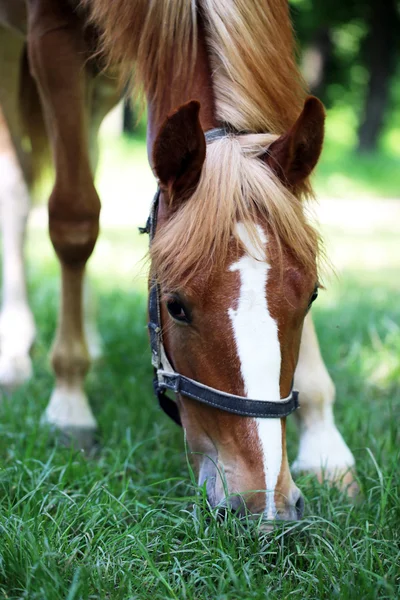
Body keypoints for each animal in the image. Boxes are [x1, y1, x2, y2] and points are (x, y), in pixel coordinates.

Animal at [0, 0, 356, 520]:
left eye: (311, 296)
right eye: (176, 307)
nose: (264, 505)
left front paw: (325, 440)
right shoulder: (50, 30)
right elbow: (74, 219)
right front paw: (69, 404)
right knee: (19, 187)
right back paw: (18, 350)